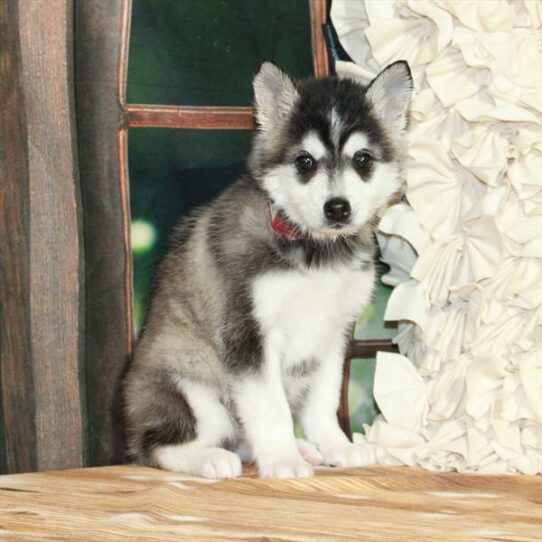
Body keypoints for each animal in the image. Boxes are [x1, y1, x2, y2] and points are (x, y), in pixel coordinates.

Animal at [123, 60, 412, 480]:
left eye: (363, 160)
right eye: (305, 162)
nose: (337, 208)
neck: (316, 249)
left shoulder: (334, 333)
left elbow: (323, 401)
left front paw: (335, 447)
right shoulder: (247, 332)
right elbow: (270, 405)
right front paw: (282, 459)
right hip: (191, 388)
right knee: (156, 447)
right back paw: (209, 458)